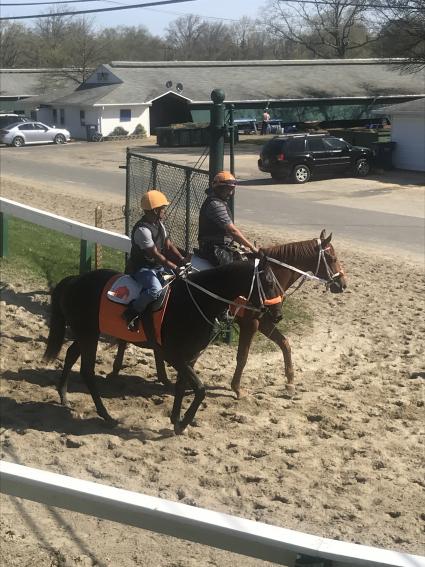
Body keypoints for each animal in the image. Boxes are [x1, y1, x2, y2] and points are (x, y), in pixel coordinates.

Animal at [111, 231, 346, 400]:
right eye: (332, 257)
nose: (342, 284)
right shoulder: (251, 323)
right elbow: (243, 356)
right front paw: (237, 388)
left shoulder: (264, 321)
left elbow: (285, 344)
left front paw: (289, 383)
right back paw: (116, 371)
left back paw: (160, 376)